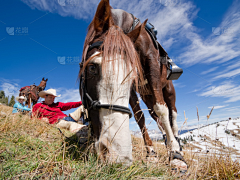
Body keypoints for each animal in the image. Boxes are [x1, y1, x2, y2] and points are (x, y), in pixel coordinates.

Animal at [79, 0, 187, 170]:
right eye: (91, 67)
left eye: (132, 75)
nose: (116, 154)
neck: (126, 25)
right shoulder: (132, 92)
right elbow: (139, 116)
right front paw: (151, 153)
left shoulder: (152, 64)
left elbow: (162, 110)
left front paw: (175, 155)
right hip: (148, 96)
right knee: (157, 118)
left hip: (168, 90)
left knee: (172, 114)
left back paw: (176, 146)